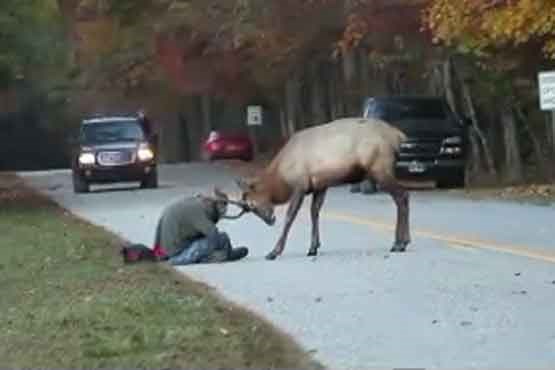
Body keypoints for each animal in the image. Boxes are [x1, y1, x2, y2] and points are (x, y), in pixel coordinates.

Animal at [224, 116, 410, 260]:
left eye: (252, 205)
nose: (270, 220)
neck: (281, 178)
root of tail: (398, 136)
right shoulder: (320, 185)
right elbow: (315, 211)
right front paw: (313, 247)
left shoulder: (299, 185)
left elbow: (290, 216)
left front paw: (274, 252)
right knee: (403, 196)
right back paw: (404, 241)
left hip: (380, 168)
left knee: (401, 195)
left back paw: (399, 243)